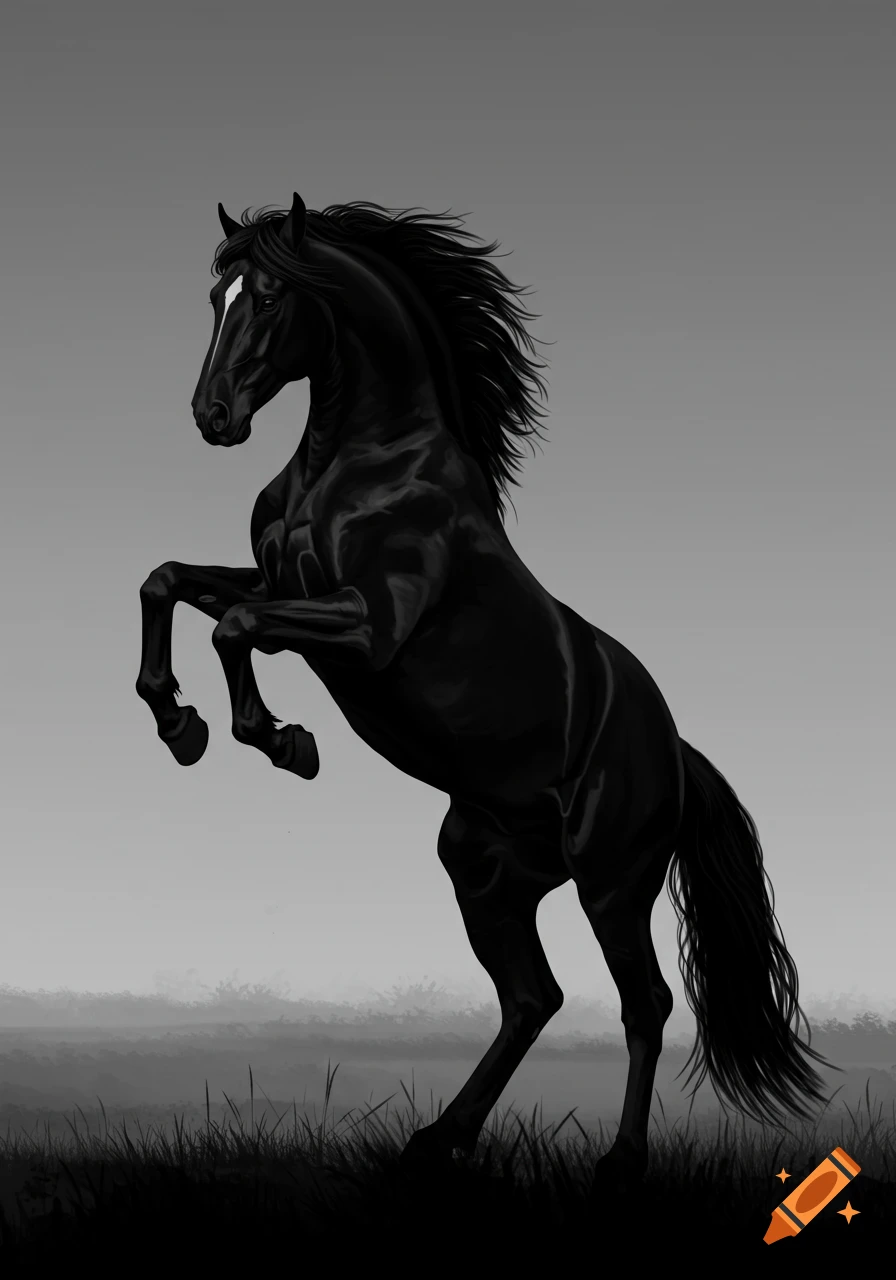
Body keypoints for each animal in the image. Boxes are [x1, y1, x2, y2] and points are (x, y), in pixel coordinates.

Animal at [136, 192, 835, 1193]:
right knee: (531, 996)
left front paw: (282, 741)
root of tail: (674, 751)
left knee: (644, 1003)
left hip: (613, 881)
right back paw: (440, 1139)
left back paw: (620, 1163)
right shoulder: (275, 583)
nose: (212, 415)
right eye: (213, 296)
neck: (363, 462)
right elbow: (168, 582)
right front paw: (179, 723)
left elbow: (234, 626)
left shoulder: (370, 626)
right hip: (486, 871)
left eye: (268, 297)